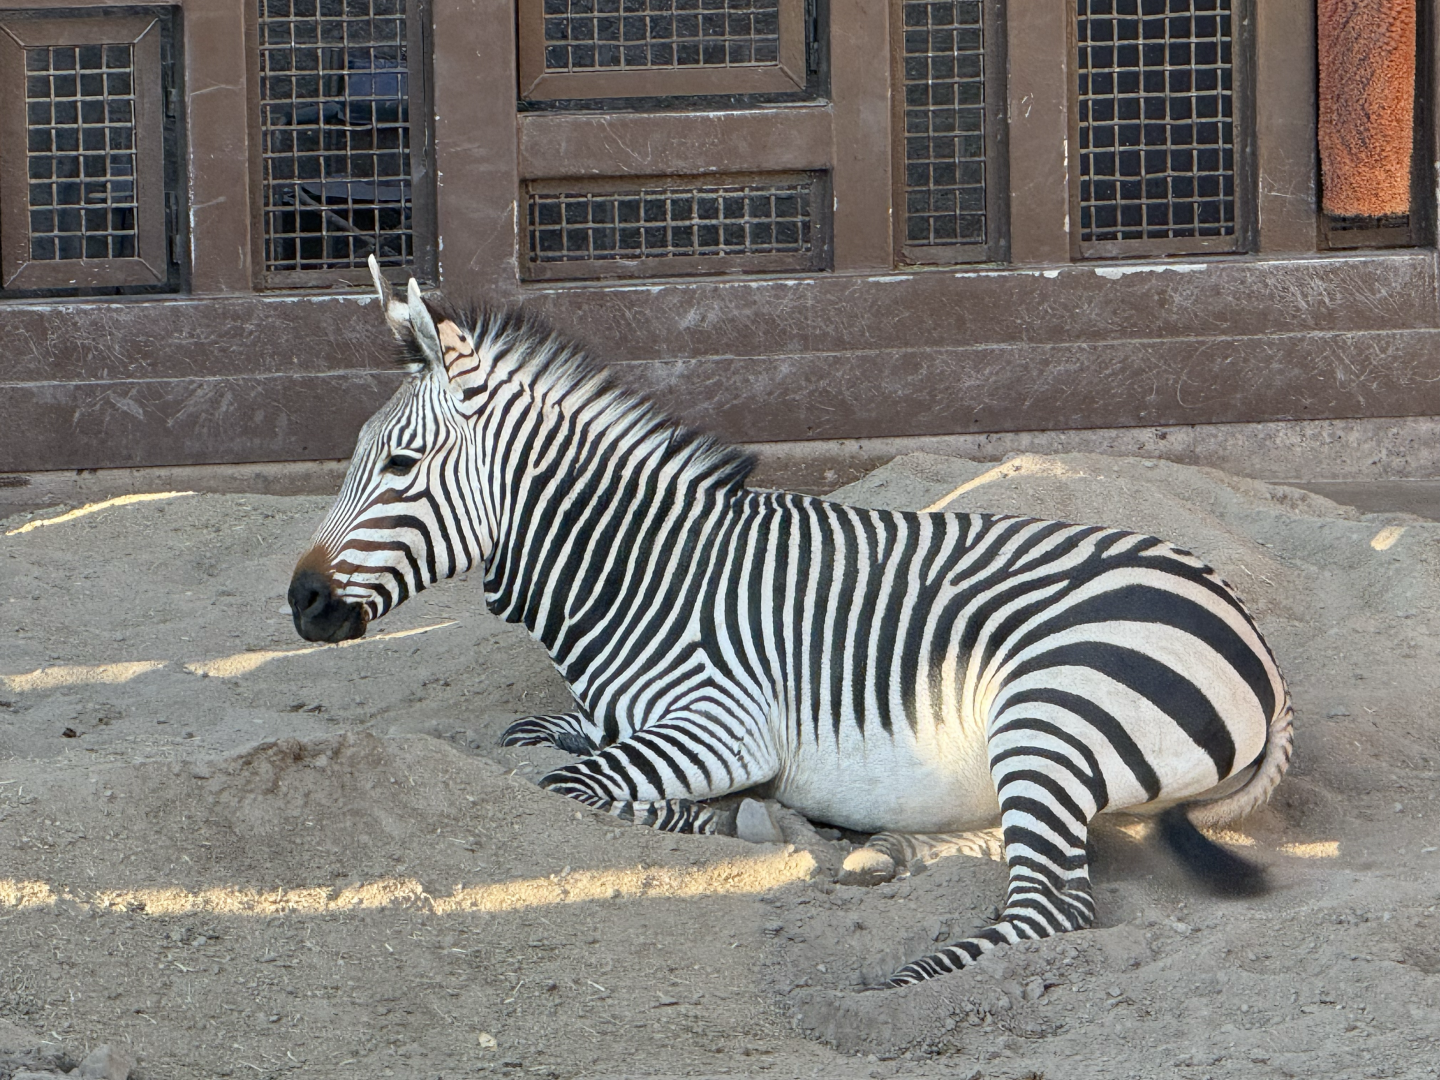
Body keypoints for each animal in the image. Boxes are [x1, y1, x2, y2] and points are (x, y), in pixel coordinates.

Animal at [288, 260, 1293, 987]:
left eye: (401, 465)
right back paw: (882, 851)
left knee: (1053, 906)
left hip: (1046, 709)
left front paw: (745, 820)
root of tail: (1259, 650)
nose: (299, 602)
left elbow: (572, 786)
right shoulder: (607, 715)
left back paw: (903, 967)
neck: (640, 572)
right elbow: (527, 740)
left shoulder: (725, 726)